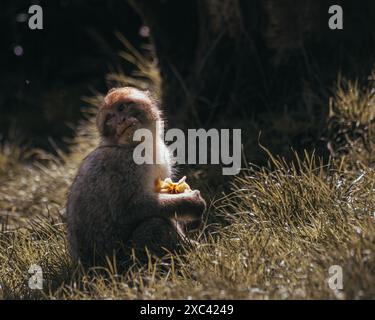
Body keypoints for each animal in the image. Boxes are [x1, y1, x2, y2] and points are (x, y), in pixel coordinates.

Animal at [68, 87, 209, 268]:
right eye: (110, 118)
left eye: (121, 108)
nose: (120, 120)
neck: (139, 146)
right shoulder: (123, 165)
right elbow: (128, 210)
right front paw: (192, 203)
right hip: (126, 259)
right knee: (155, 224)